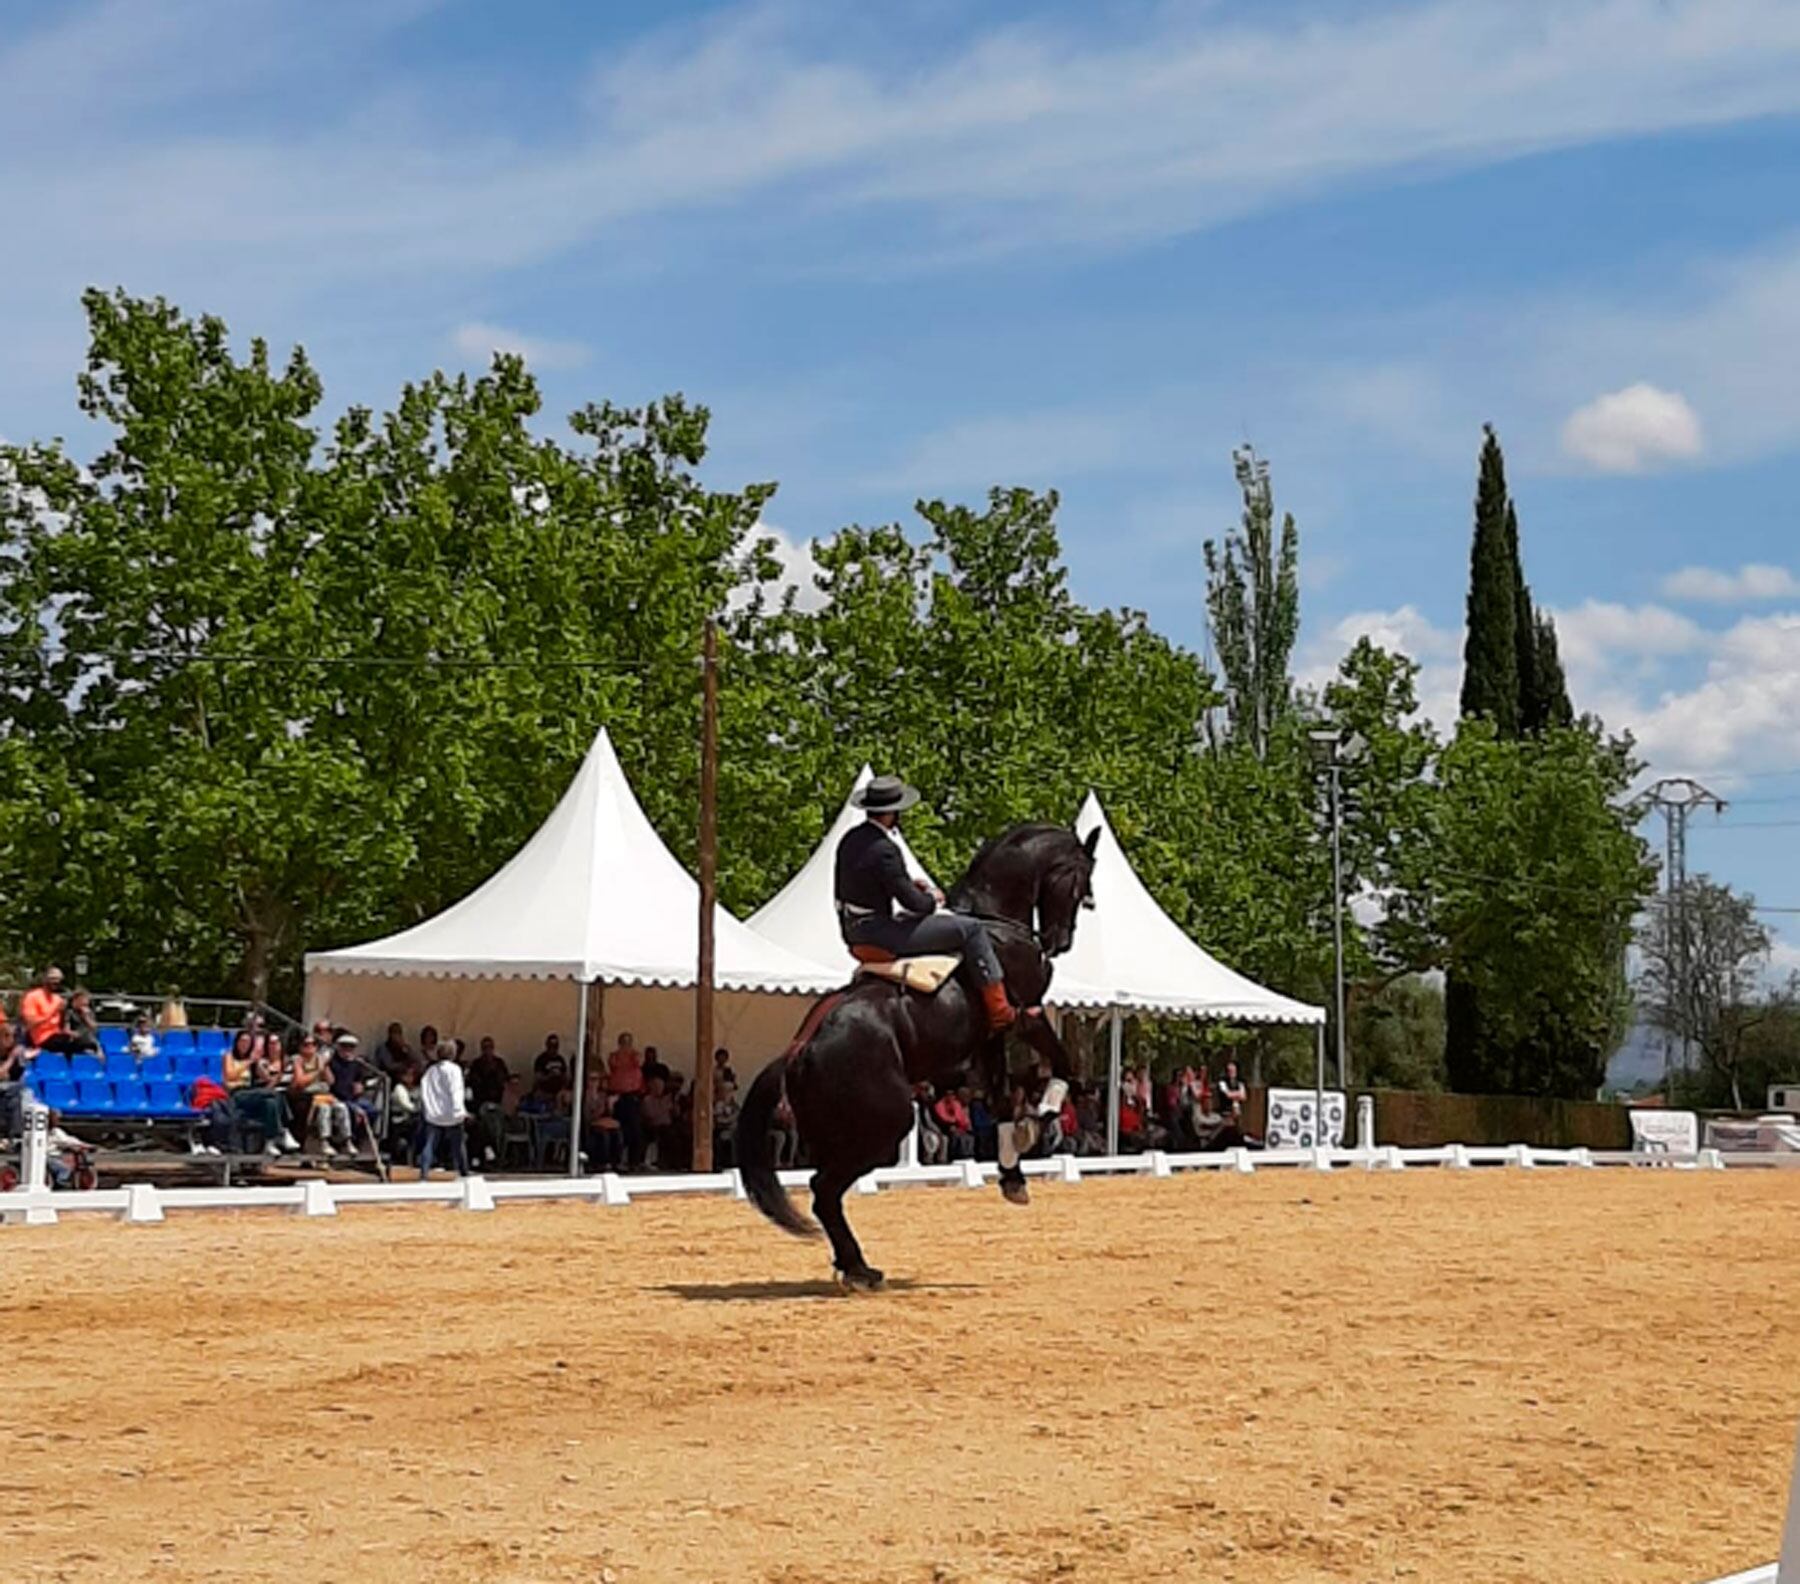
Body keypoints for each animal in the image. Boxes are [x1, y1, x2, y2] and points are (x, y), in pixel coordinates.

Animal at [730, 824, 1094, 1296]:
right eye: (1081, 882)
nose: (1059, 942)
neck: (995, 923)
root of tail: (797, 1053)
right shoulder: (1027, 1015)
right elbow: (1062, 1065)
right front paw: (1042, 1114)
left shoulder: (991, 1038)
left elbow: (1000, 1099)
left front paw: (1013, 1174)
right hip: (886, 1126)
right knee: (824, 1189)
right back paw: (860, 1269)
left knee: (825, 1193)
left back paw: (855, 1266)